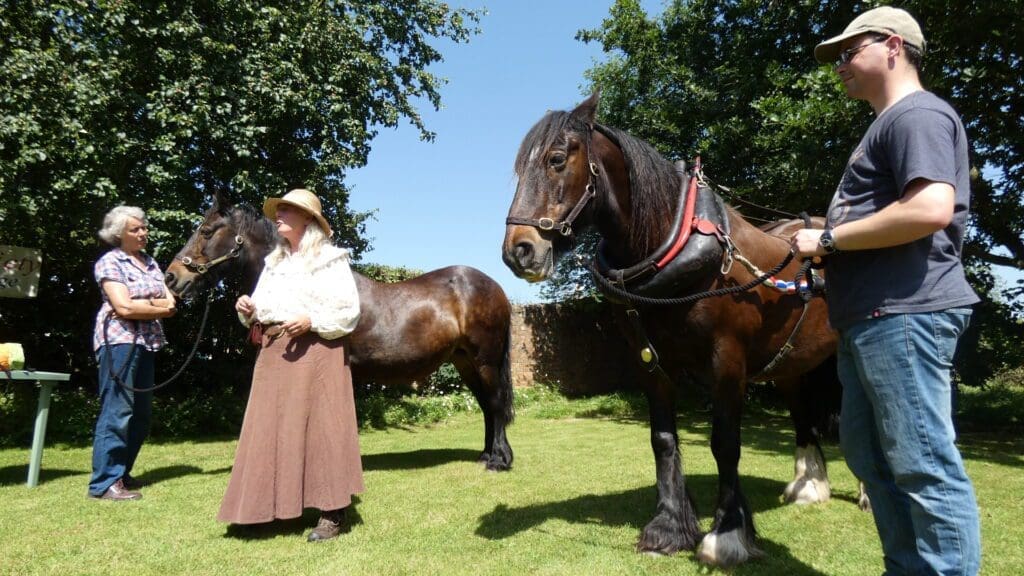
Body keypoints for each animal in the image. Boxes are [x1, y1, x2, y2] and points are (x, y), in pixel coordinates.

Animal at [169, 190, 520, 469]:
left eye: (207, 231)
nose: (172, 277)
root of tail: (494, 286)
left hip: (485, 361)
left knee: (495, 403)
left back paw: (499, 460)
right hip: (464, 361)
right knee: (486, 405)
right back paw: (486, 455)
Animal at [501, 94, 839, 565]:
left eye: (556, 159)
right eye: (519, 169)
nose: (518, 251)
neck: (674, 246)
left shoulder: (727, 362)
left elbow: (724, 444)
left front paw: (727, 535)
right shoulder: (649, 362)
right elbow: (662, 439)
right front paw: (669, 527)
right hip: (789, 361)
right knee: (802, 411)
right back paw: (808, 485)